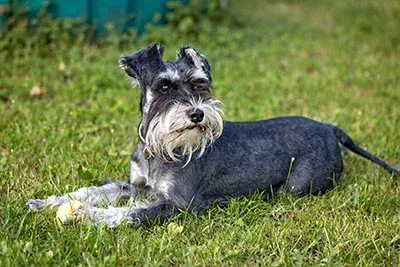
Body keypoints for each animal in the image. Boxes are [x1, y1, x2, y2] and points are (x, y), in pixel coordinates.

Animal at [26, 44, 398, 228]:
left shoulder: (178, 205)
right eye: (164, 87)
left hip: (296, 187)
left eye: (199, 85)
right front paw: (47, 202)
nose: (197, 114)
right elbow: (95, 191)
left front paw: (86, 216)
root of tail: (329, 128)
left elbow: (130, 213)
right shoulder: (137, 185)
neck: (157, 151)